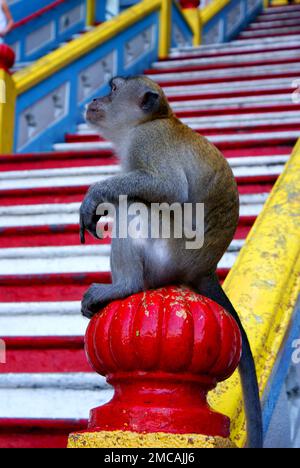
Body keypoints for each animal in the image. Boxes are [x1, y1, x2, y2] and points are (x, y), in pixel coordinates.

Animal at [79, 75, 262, 448]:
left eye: (113, 89)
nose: (96, 99)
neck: (154, 119)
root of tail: (204, 269)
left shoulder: (147, 141)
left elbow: (168, 188)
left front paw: (95, 194)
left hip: (167, 253)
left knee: (133, 205)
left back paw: (123, 286)